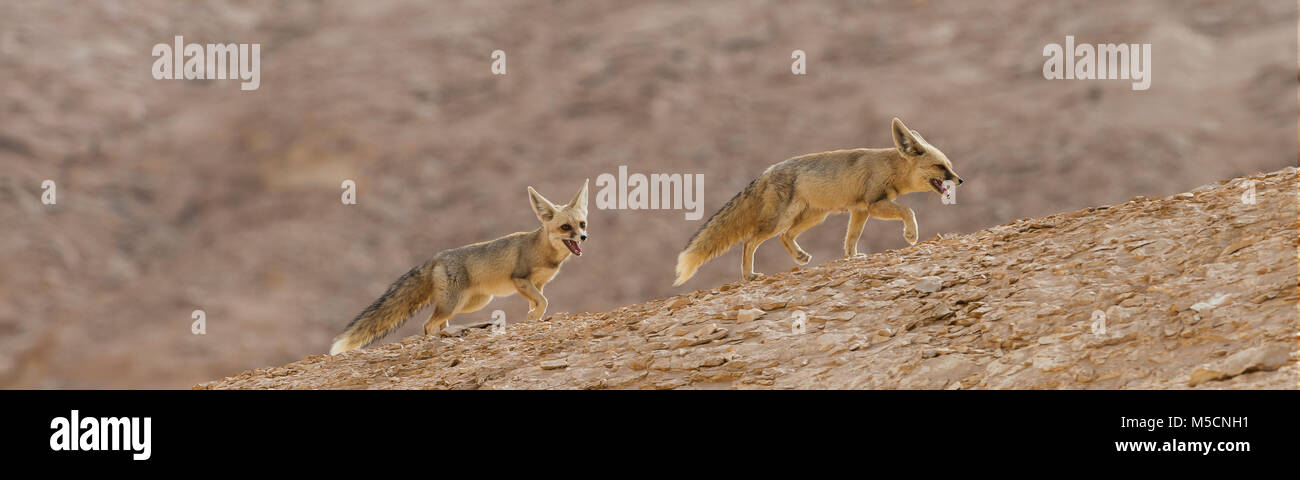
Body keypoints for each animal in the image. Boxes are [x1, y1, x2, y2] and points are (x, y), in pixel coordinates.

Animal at [327, 178, 592, 351]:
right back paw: (445, 335)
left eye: (582, 224)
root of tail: (436, 256)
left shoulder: (538, 284)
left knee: (439, 323)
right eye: (565, 227)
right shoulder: (520, 279)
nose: (583, 237)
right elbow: (543, 302)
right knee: (428, 325)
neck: (545, 251)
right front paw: (534, 317)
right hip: (455, 303)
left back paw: (455, 331)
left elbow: (540, 301)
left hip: (471, 302)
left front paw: (533, 317)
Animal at [676, 118, 961, 286]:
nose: (960, 180)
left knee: (786, 237)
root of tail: (767, 171)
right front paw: (911, 235)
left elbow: (851, 239)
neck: (889, 166)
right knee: (750, 241)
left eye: (950, 165)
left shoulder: (859, 210)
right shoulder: (872, 204)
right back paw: (749, 275)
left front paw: (852, 257)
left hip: (812, 217)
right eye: (941, 167)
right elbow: (908, 209)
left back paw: (800, 256)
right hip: (780, 220)